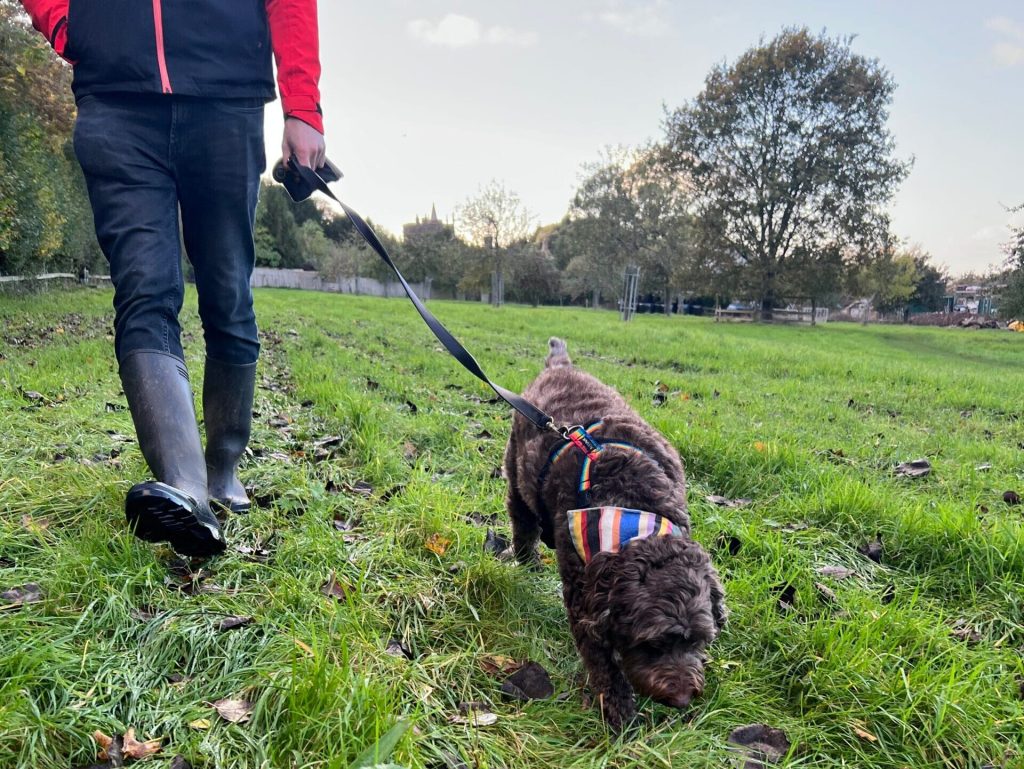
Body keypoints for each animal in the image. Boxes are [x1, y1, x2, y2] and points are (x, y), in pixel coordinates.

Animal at [502, 338, 726, 731]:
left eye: (699, 641)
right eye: (652, 644)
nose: (683, 699)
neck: (635, 509)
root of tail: (560, 366)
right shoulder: (584, 596)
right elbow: (601, 658)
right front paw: (619, 709)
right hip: (517, 473)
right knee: (523, 520)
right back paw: (527, 560)